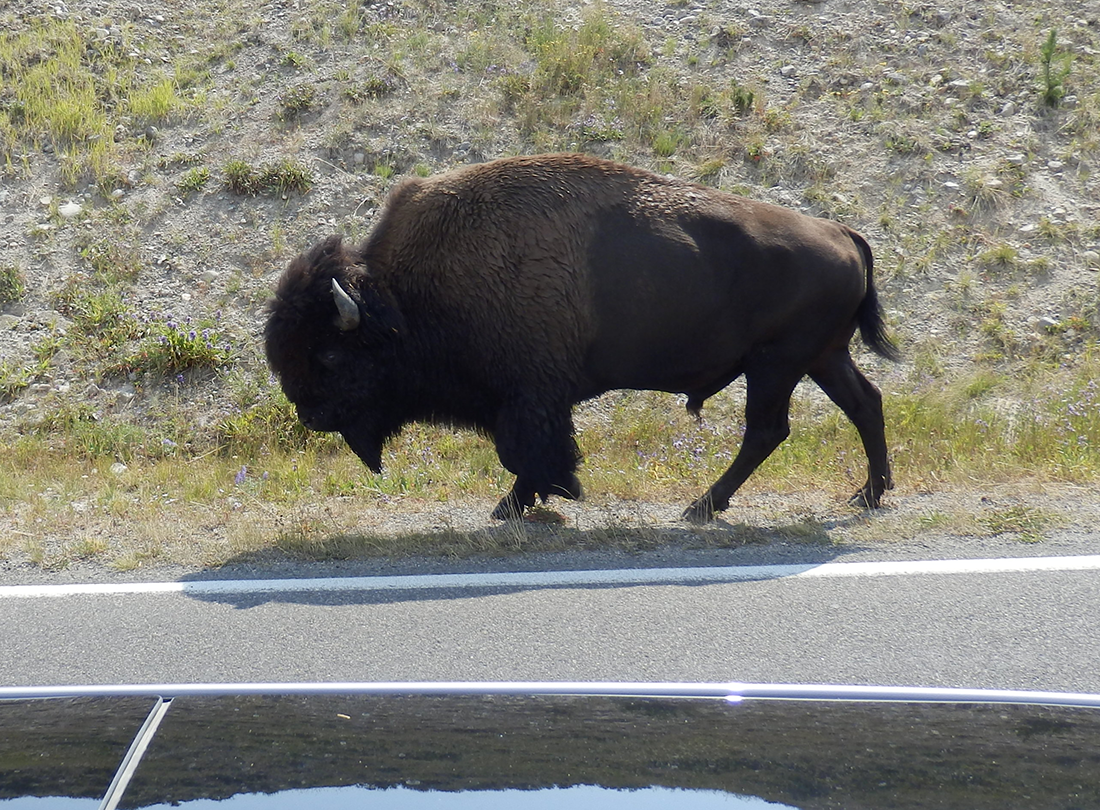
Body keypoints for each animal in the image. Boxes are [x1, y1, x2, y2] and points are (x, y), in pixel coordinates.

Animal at [261, 152, 897, 521]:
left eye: (329, 354)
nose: (308, 414)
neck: (403, 299)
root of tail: (842, 232)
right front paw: (529, 499)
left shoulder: (530, 394)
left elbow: (528, 451)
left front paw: (528, 501)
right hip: (821, 357)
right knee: (864, 404)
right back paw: (868, 494)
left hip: (777, 364)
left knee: (768, 429)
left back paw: (702, 506)